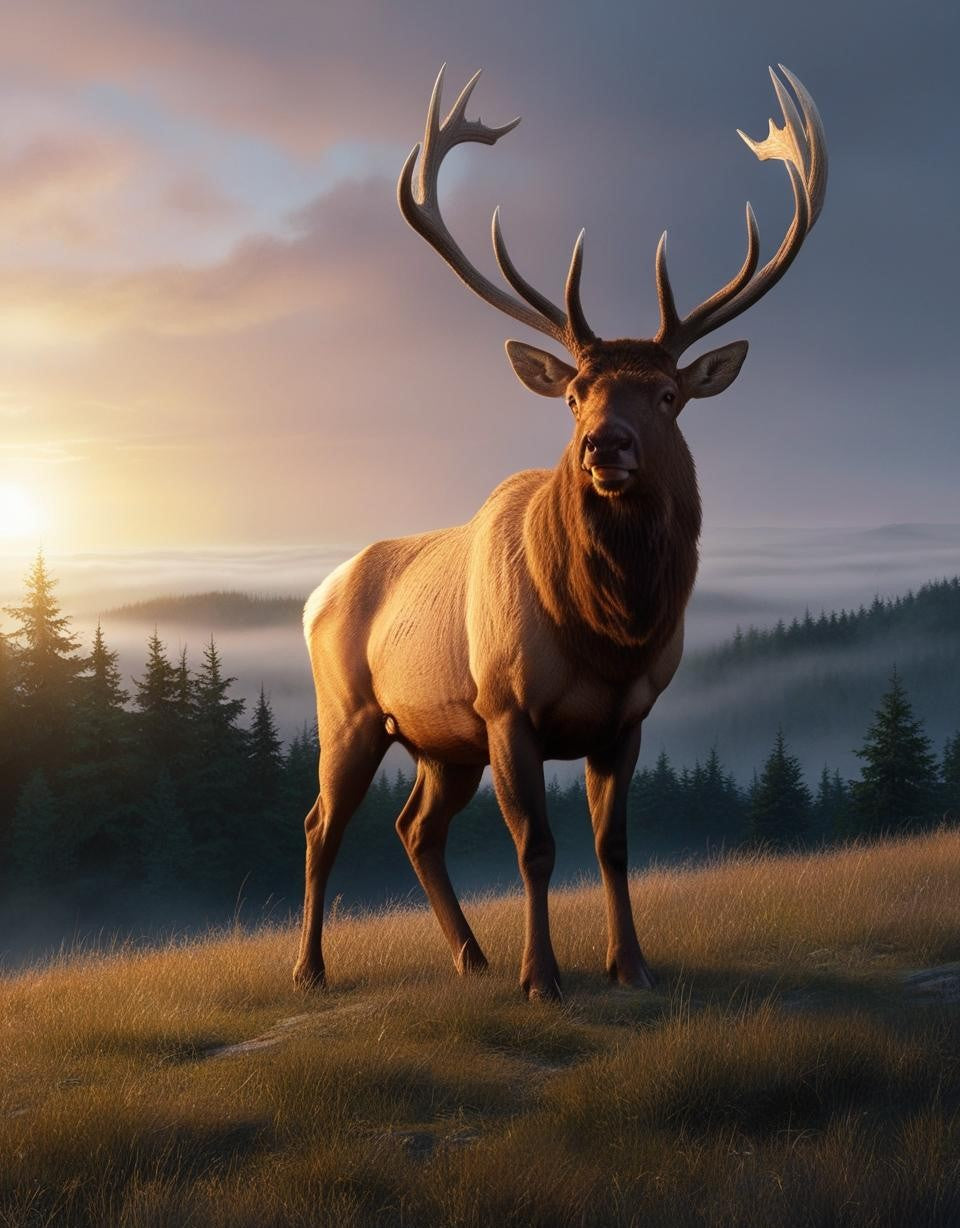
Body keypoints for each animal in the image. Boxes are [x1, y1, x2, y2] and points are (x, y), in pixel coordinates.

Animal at [293, 65, 827, 1000]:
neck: (607, 633)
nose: (603, 446)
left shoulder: (629, 716)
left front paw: (631, 966)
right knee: (323, 823)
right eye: (576, 393)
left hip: (443, 741)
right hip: (351, 710)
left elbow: (613, 848)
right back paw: (312, 969)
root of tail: (312, 598)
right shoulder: (508, 707)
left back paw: (470, 955)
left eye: (668, 395)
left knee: (415, 828)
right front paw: (541, 977)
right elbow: (536, 849)